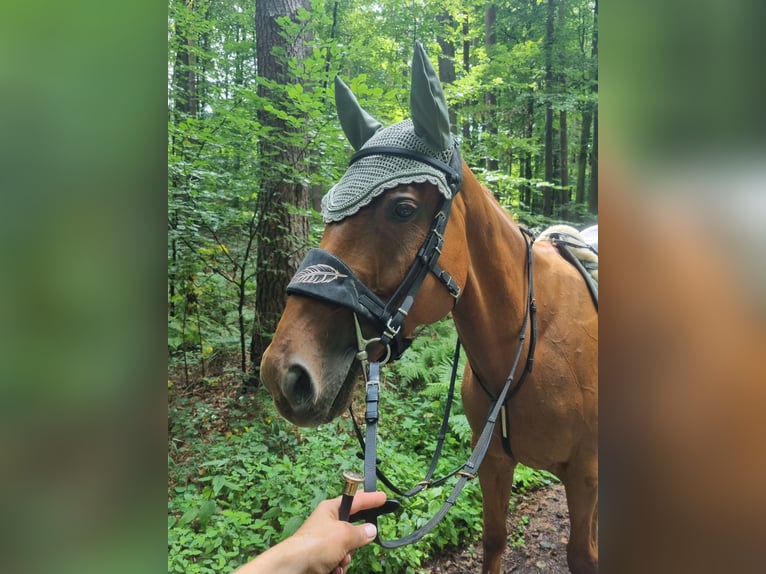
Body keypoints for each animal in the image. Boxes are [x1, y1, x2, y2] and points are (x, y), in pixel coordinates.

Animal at [262, 42, 600, 572]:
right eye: (328, 209)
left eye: (403, 208)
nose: (283, 373)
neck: (532, 344)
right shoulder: (495, 465)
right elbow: (494, 539)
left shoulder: (586, 473)